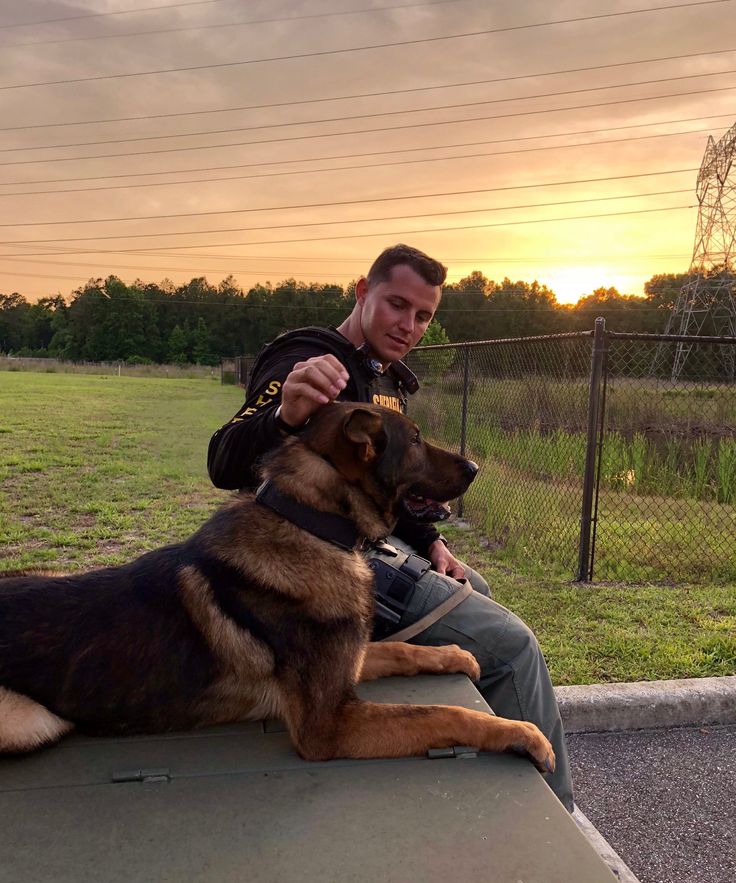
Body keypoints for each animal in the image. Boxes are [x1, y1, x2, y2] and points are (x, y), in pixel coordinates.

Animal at [0, 404, 552, 776]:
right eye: (414, 440)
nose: (476, 469)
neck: (310, 523)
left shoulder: (350, 662)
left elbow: (400, 649)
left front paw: (455, 655)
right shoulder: (328, 725)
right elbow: (444, 711)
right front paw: (521, 733)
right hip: (27, 721)